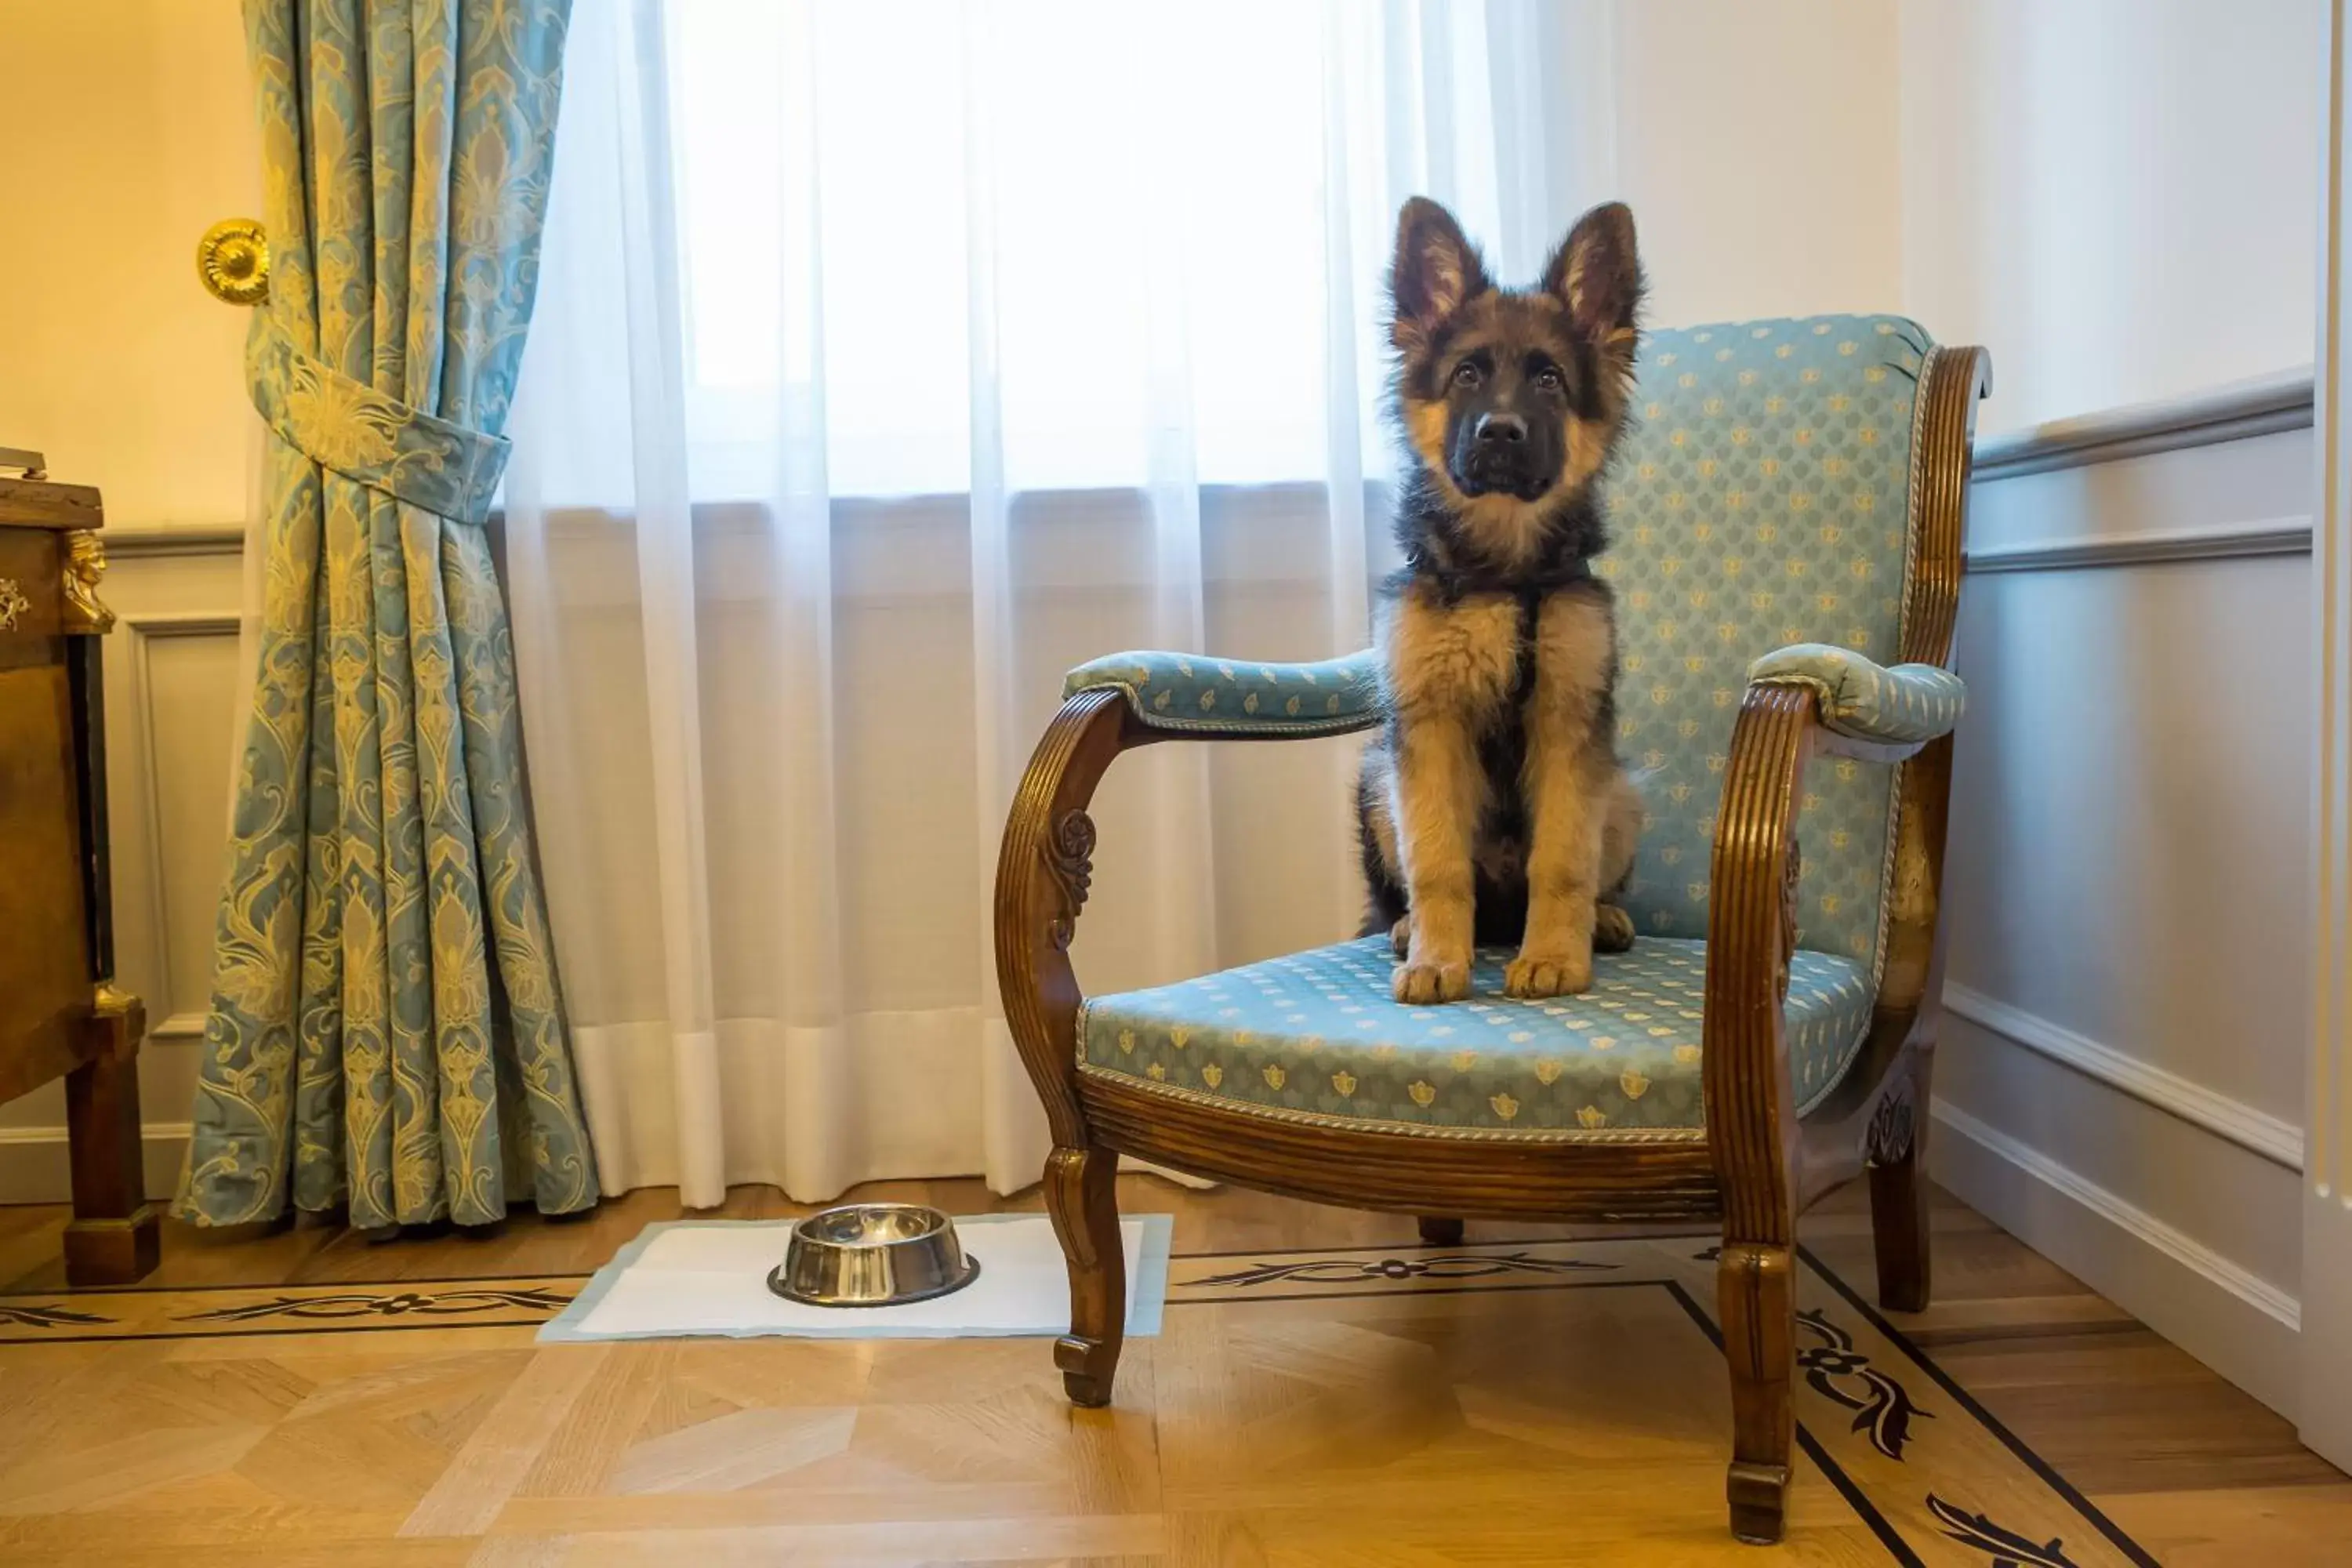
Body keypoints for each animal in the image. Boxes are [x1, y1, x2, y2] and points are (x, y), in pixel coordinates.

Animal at [1355, 199, 1646, 1006]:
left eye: (1549, 379)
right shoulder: (1428, 729)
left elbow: (1564, 861)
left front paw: (1553, 956)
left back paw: (1604, 919)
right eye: (1467, 375)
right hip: (1377, 780)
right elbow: (1437, 865)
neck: (1505, 577)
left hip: (1622, 789)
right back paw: (1405, 931)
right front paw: (1436, 960)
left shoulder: (1570, 722)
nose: (1501, 434)